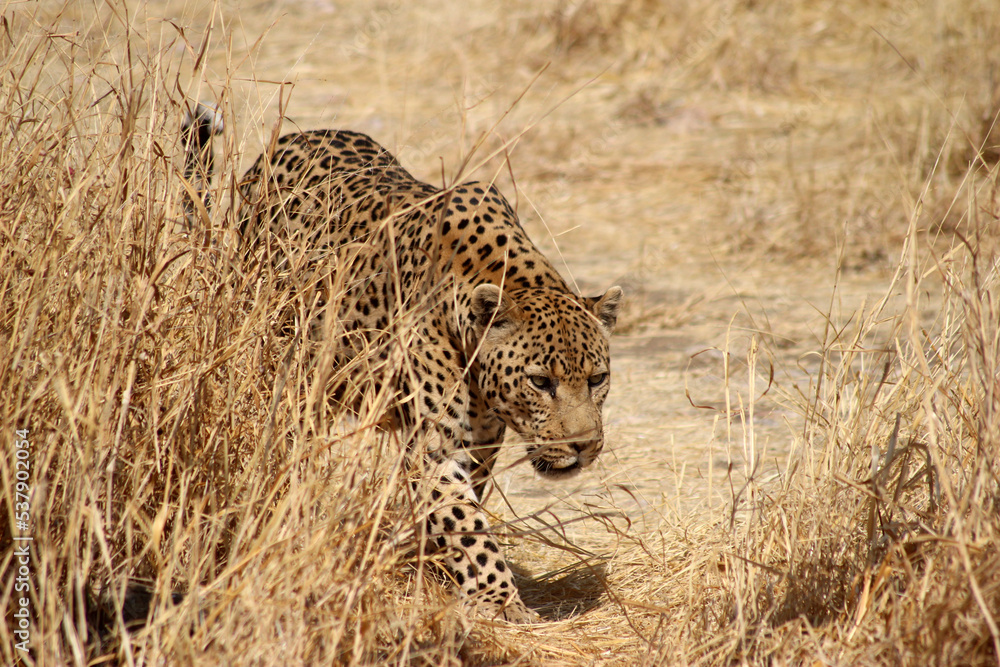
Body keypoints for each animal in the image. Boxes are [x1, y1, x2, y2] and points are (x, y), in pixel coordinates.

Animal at [182, 103, 623, 623]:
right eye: (539, 382)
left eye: (597, 379)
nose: (584, 446)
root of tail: (286, 142)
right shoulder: (437, 448)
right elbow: (467, 527)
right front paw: (499, 600)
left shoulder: (479, 445)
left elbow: (458, 516)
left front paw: (437, 572)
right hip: (285, 363)